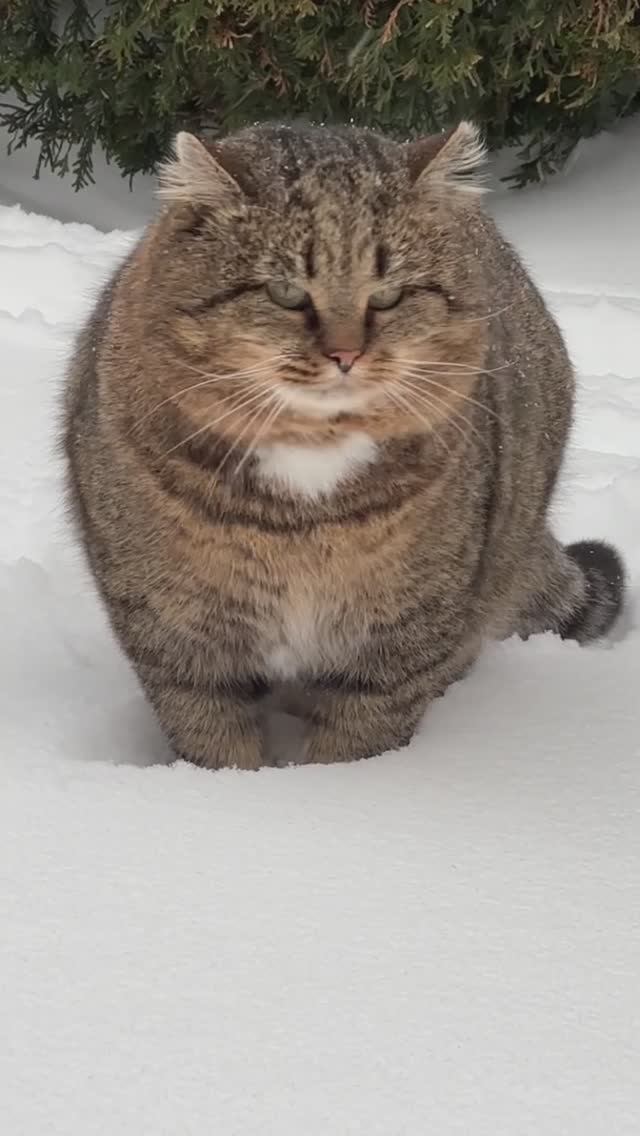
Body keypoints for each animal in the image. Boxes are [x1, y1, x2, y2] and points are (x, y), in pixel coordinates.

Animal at [63, 121, 625, 769]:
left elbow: (359, 741)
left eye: (388, 296)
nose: (345, 354)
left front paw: (336, 787)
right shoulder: (176, 628)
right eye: (285, 291)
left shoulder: (400, 633)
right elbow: (211, 733)